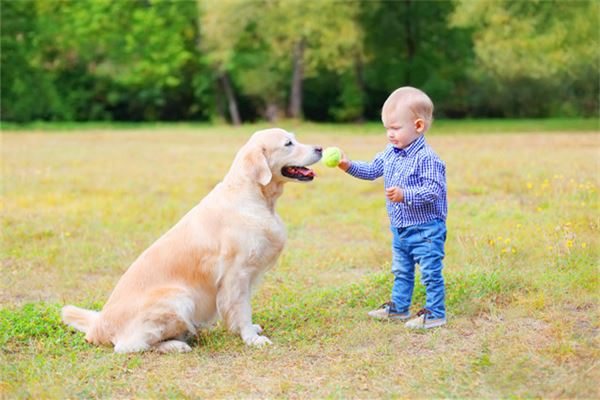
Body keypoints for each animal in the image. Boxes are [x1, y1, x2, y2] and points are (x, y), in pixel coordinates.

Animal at [62, 128, 322, 354]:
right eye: (288, 143)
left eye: (295, 139)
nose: (320, 148)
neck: (254, 197)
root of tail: (98, 326)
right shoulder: (236, 273)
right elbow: (241, 308)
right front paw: (251, 338)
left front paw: (247, 330)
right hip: (179, 298)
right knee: (129, 346)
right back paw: (176, 345)